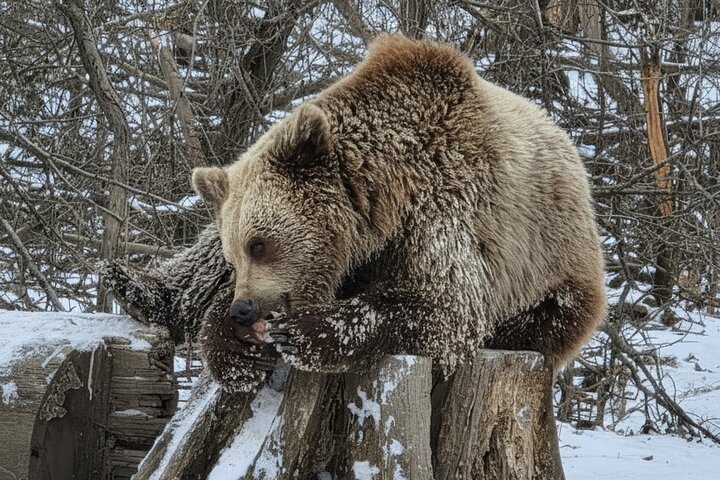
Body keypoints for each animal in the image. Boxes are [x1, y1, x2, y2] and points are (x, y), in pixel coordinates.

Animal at [184, 34, 607, 393]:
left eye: (259, 245)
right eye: (233, 256)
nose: (243, 309)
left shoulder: (444, 206)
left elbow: (446, 309)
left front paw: (305, 331)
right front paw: (236, 350)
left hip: (551, 259)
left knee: (549, 319)